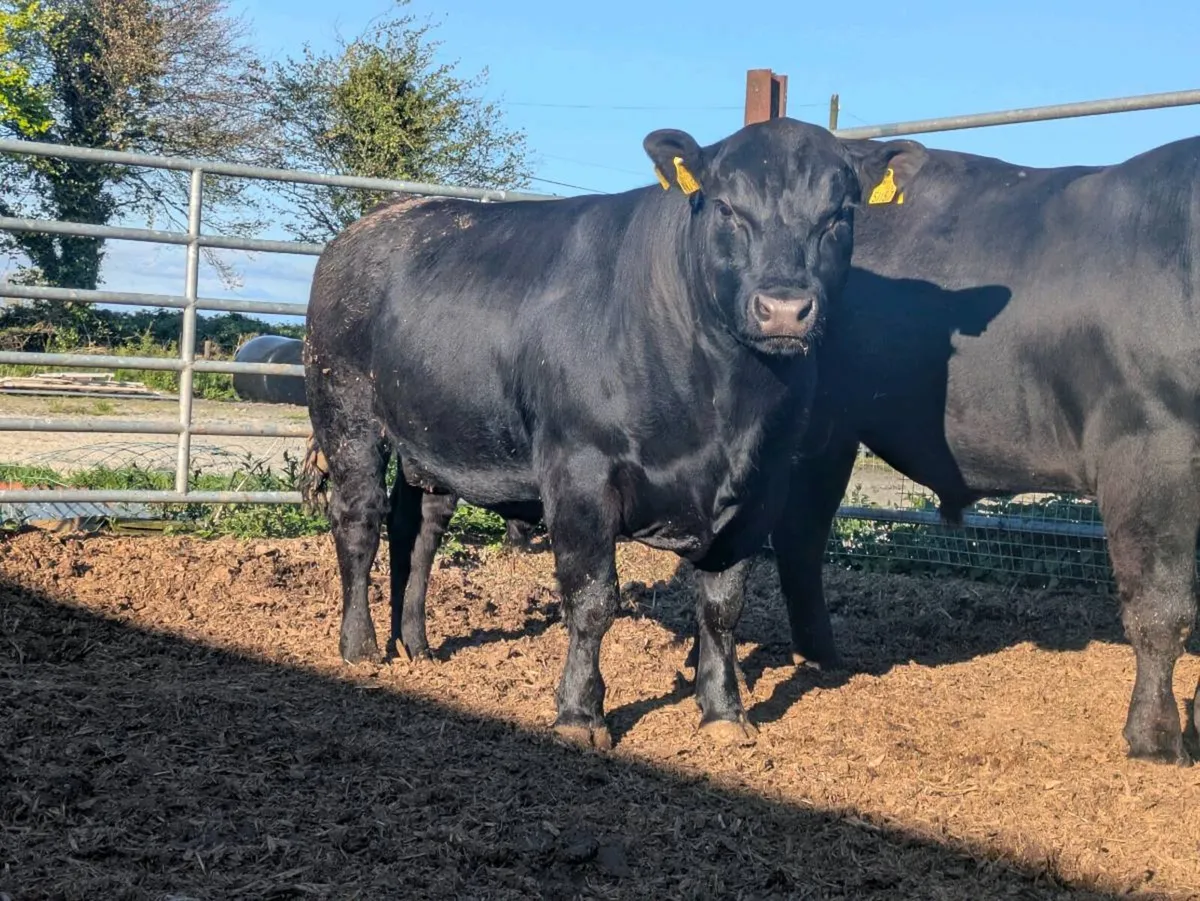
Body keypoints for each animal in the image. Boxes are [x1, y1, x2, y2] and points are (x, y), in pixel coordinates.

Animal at [301, 117, 914, 749]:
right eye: (726, 207)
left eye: (840, 214)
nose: (785, 308)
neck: (722, 407)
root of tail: (373, 221)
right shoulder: (579, 470)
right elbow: (593, 598)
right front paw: (579, 714)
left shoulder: (760, 488)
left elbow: (723, 604)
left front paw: (723, 712)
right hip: (346, 413)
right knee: (359, 522)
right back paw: (361, 646)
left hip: (434, 441)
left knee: (417, 530)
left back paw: (416, 644)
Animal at [772, 134, 1200, 765]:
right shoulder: (1150, 445)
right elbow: (1162, 606)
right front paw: (1156, 739)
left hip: (832, 430)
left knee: (802, 534)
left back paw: (821, 657)